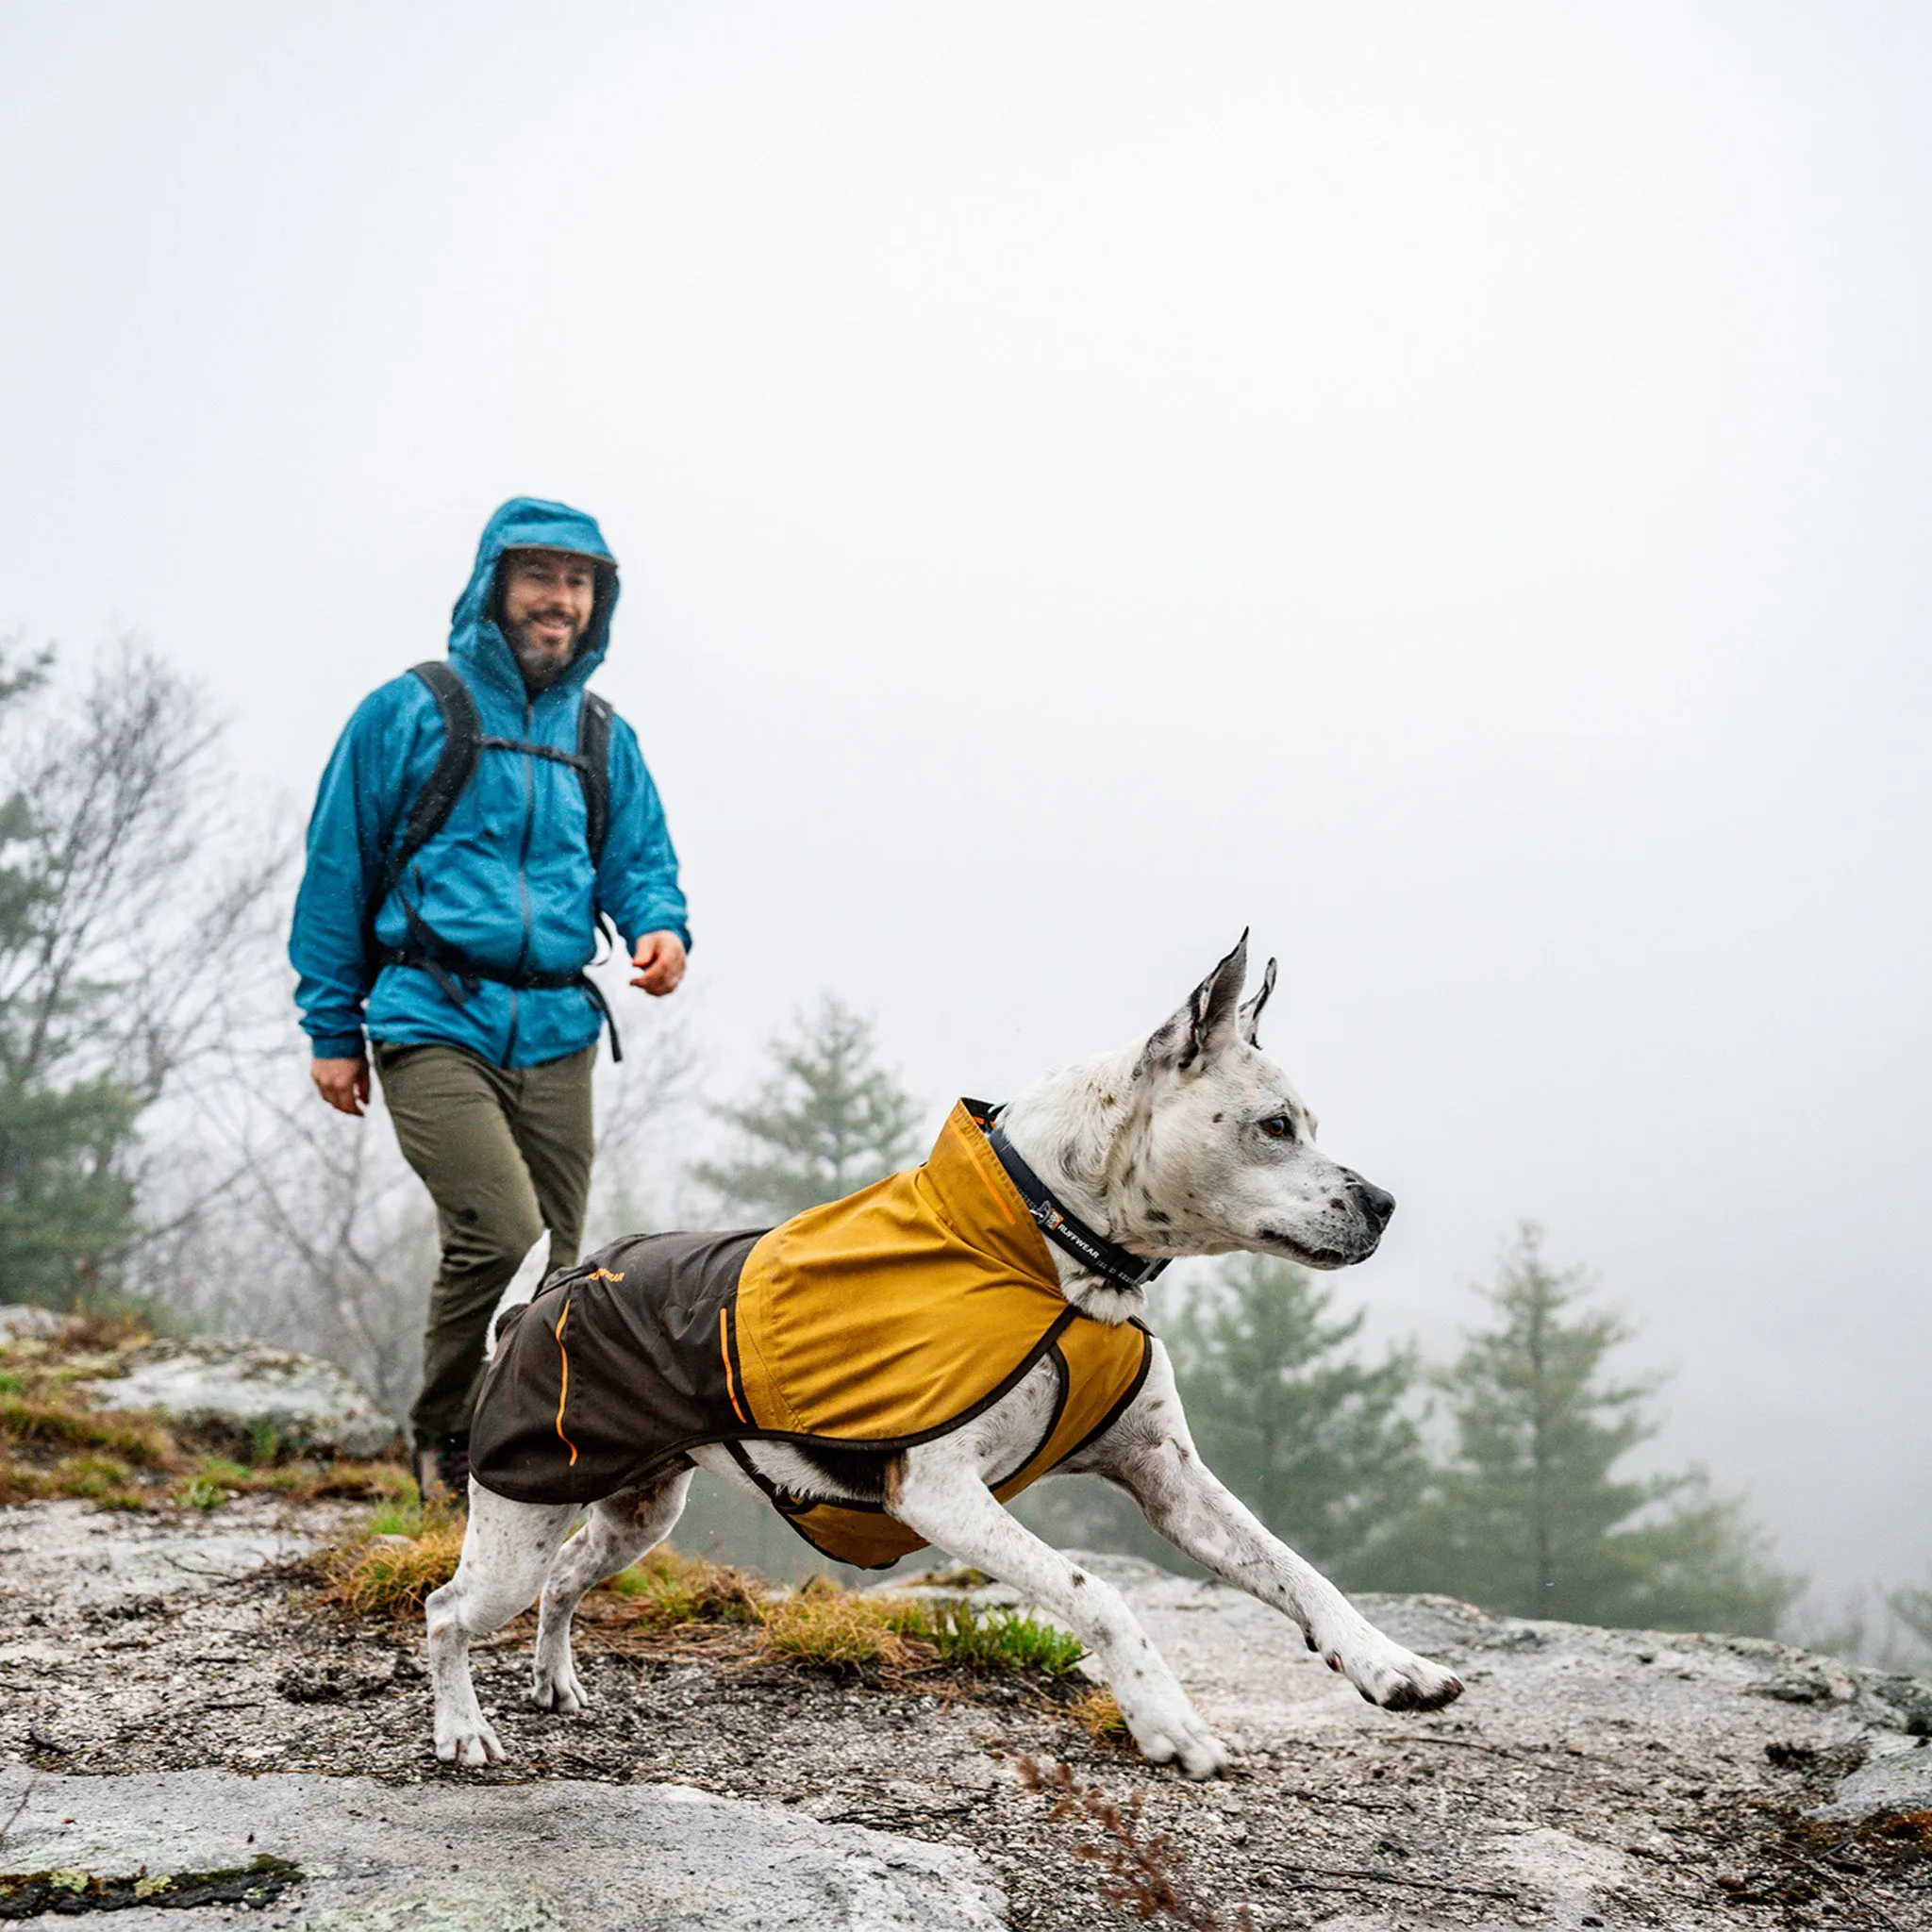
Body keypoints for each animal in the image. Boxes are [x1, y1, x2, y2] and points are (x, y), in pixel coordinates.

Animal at [430, 939, 1453, 1777]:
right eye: (1274, 1126)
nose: (1385, 1204)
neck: (1056, 1251)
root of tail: (537, 1299)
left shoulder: (1170, 1479)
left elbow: (1295, 1568)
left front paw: (1389, 1662)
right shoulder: (943, 1494)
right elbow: (1099, 1592)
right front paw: (1167, 1718)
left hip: (635, 1512)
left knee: (565, 1580)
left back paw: (554, 1681)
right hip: (517, 1524)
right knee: (447, 1611)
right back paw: (463, 1730)